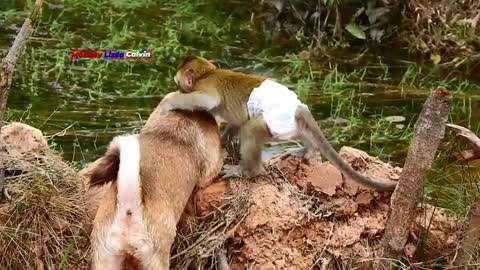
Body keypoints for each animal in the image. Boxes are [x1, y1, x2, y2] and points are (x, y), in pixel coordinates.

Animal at [161, 54, 398, 191]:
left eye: (178, 84)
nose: (178, 87)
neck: (209, 72)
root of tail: (298, 108)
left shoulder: (206, 86)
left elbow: (209, 101)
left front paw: (169, 103)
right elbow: (238, 120)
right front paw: (225, 138)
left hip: (275, 122)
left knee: (251, 129)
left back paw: (249, 172)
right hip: (291, 125)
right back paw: (308, 150)